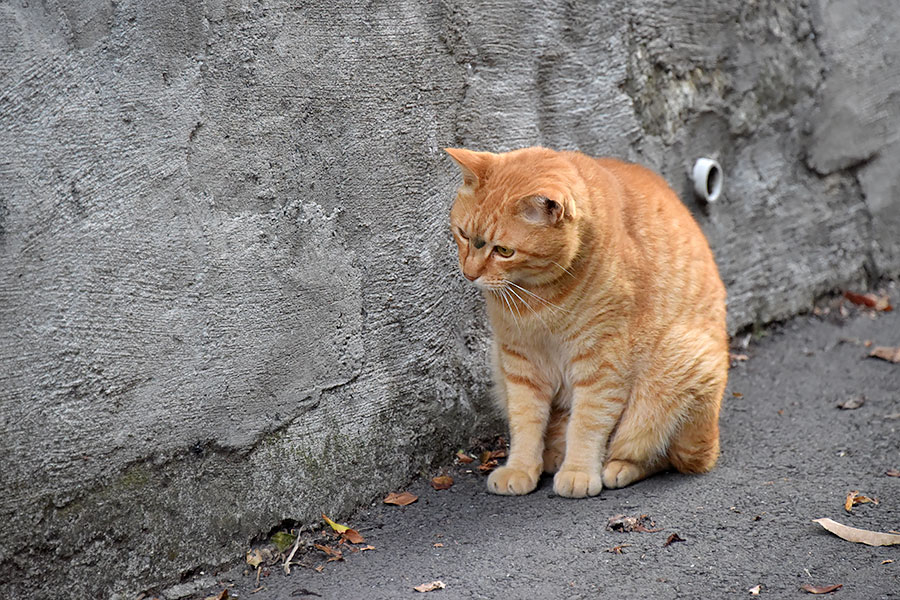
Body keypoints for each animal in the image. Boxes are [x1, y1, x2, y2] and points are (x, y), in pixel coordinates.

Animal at [446, 145, 728, 496]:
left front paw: (579, 471)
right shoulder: (519, 362)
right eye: (463, 234)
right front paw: (521, 468)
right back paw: (552, 456)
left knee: (661, 454)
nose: (470, 274)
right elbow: (525, 421)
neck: (538, 299)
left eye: (504, 251)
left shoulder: (602, 364)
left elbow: (587, 423)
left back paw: (616, 467)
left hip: (682, 364)